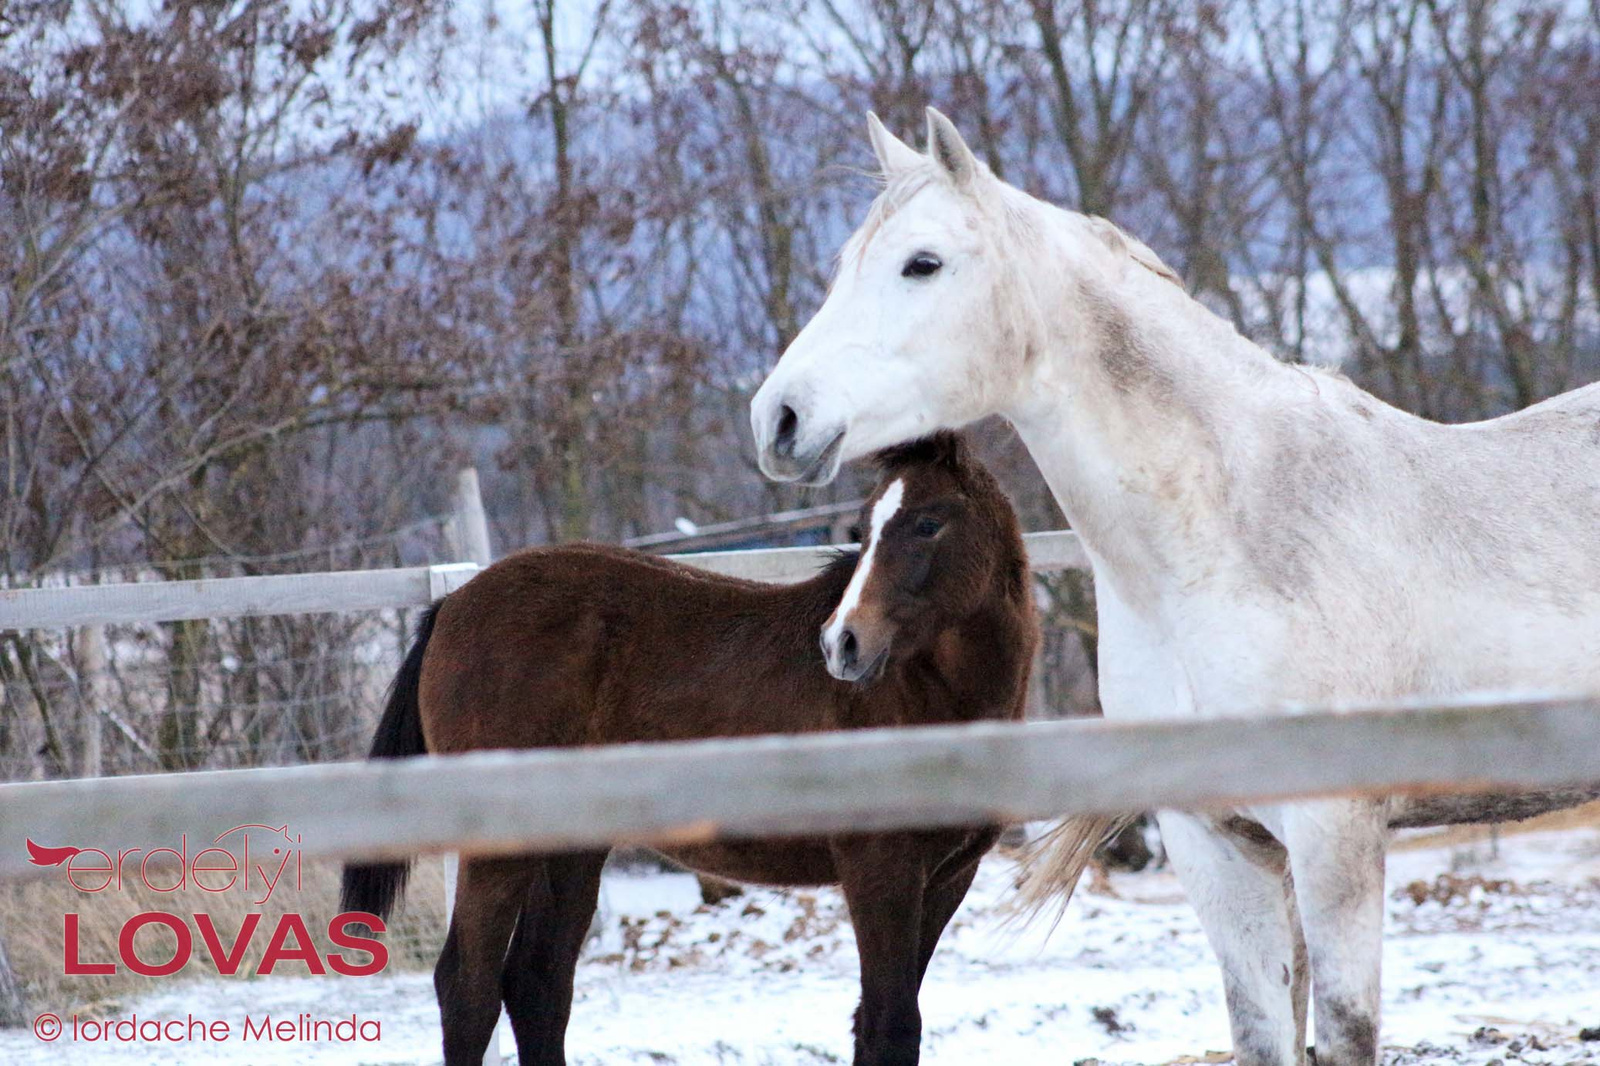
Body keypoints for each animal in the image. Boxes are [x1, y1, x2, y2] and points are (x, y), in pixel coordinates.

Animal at [340, 428, 1036, 1056]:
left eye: (928, 522)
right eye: (865, 528)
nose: (844, 644)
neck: (929, 698)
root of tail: (451, 604)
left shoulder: (948, 878)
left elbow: (882, 1021)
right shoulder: (880, 870)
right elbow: (890, 1024)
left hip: (570, 845)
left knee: (538, 984)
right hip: (499, 851)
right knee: (469, 988)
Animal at [748, 109, 1600, 1062]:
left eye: (922, 263)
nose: (780, 418)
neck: (1235, 536)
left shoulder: (1336, 833)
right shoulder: (1214, 841)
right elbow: (1260, 1030)